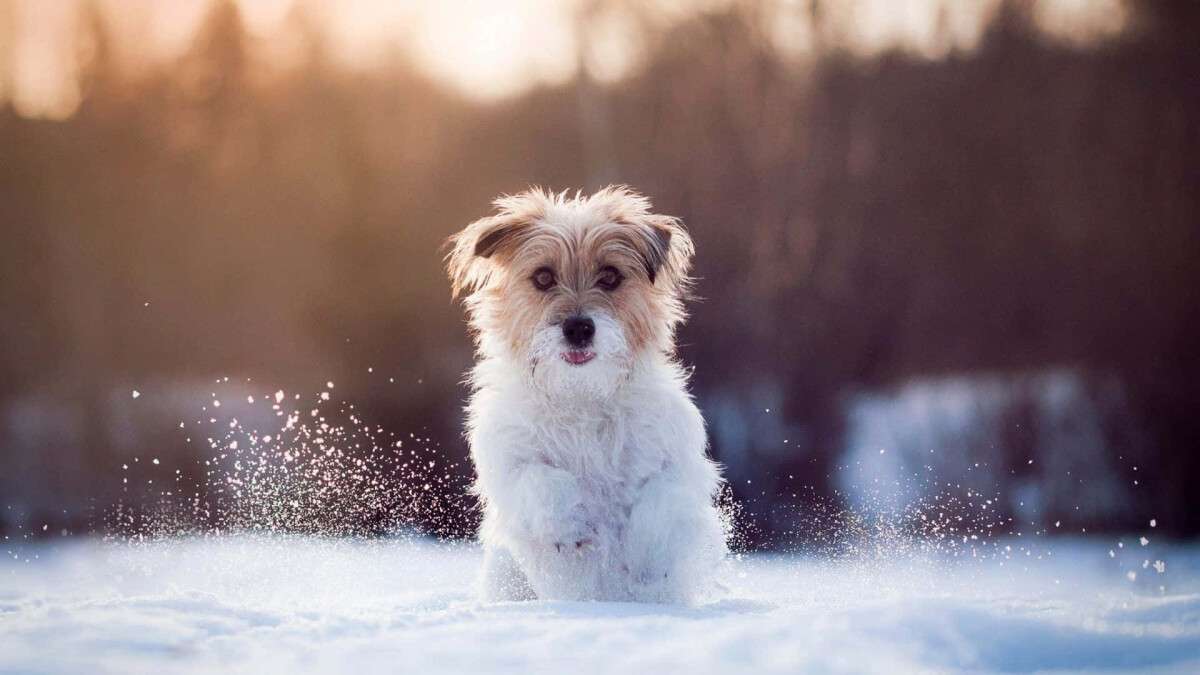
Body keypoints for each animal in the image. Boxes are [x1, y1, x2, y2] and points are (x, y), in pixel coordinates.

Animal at [446, 184, 724, 605]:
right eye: (543, 277)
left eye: (610, 276)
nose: (578, 328)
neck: (582, 395)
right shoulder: (510, 464)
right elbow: (541, 482)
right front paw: (571, 526)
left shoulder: (682, 465)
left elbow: (663, 500)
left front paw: (648, 560)